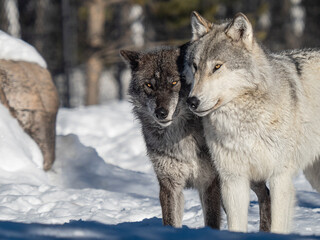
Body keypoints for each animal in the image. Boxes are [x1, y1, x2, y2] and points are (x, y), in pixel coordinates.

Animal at [121, 45, 272, 231]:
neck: (179, 138)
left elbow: (212, 221)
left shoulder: (210, 183)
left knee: (265, 194)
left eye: (174, 83)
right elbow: (171, 221)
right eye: (149, 85)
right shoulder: (170, 185)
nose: (161, 113)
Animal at [185, 10, 320, 232]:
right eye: (195, 67)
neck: (244, 124)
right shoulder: (233, 180)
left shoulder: (279, 177)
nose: (192, 101)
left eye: (217, 66)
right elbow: (236, 225)